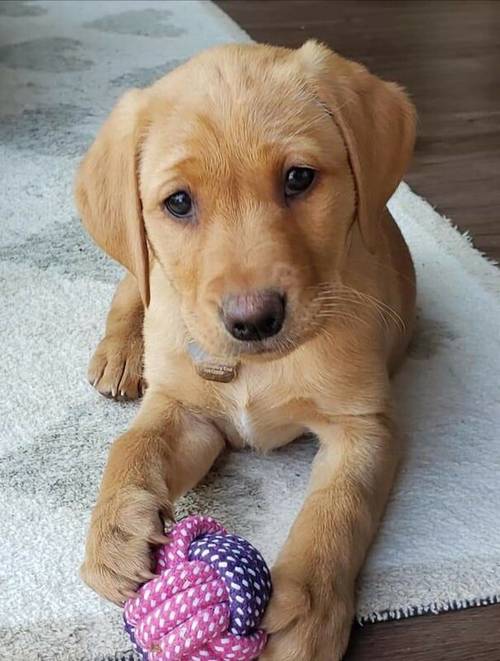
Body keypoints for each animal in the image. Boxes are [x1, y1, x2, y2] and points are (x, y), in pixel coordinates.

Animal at [75, 42, 418, 660]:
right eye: (178, 202)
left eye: (299, 178)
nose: (253, 320)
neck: (260, 367)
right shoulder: (186, 410)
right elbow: (134, 444)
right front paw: (114, 529)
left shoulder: (364, 426)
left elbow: (338, 510)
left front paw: (308, 612)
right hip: (150, 274)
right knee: (132, 287)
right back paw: (121, 354)